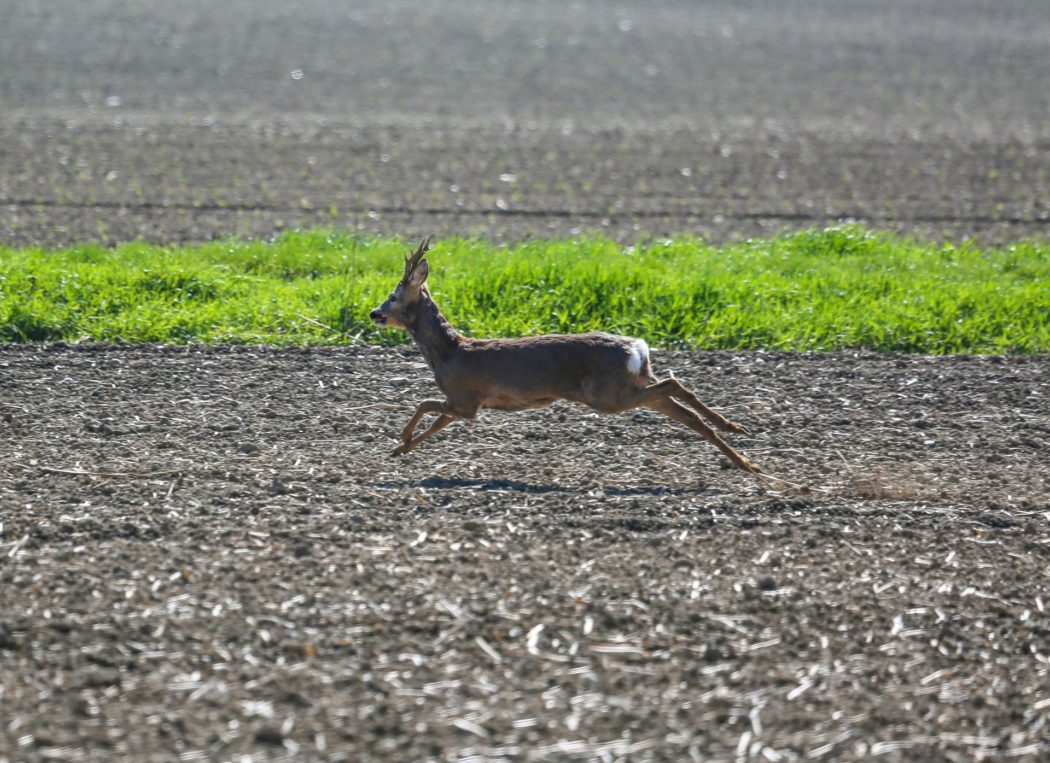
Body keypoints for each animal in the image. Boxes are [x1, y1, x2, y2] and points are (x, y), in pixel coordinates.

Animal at [369, 238, 761, 473]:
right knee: (681, 405)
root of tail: (638, 348)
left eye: (393, 296)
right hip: (631, 384)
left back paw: (736, 437)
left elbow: (424, 405)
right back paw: (743, 454)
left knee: (675, 385)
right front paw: (400, 450)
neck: (449, 353)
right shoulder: (463, 404)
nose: (374, 313)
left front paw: (401, 440)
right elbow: (435, 422)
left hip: (608, 393)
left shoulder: (466, 399)